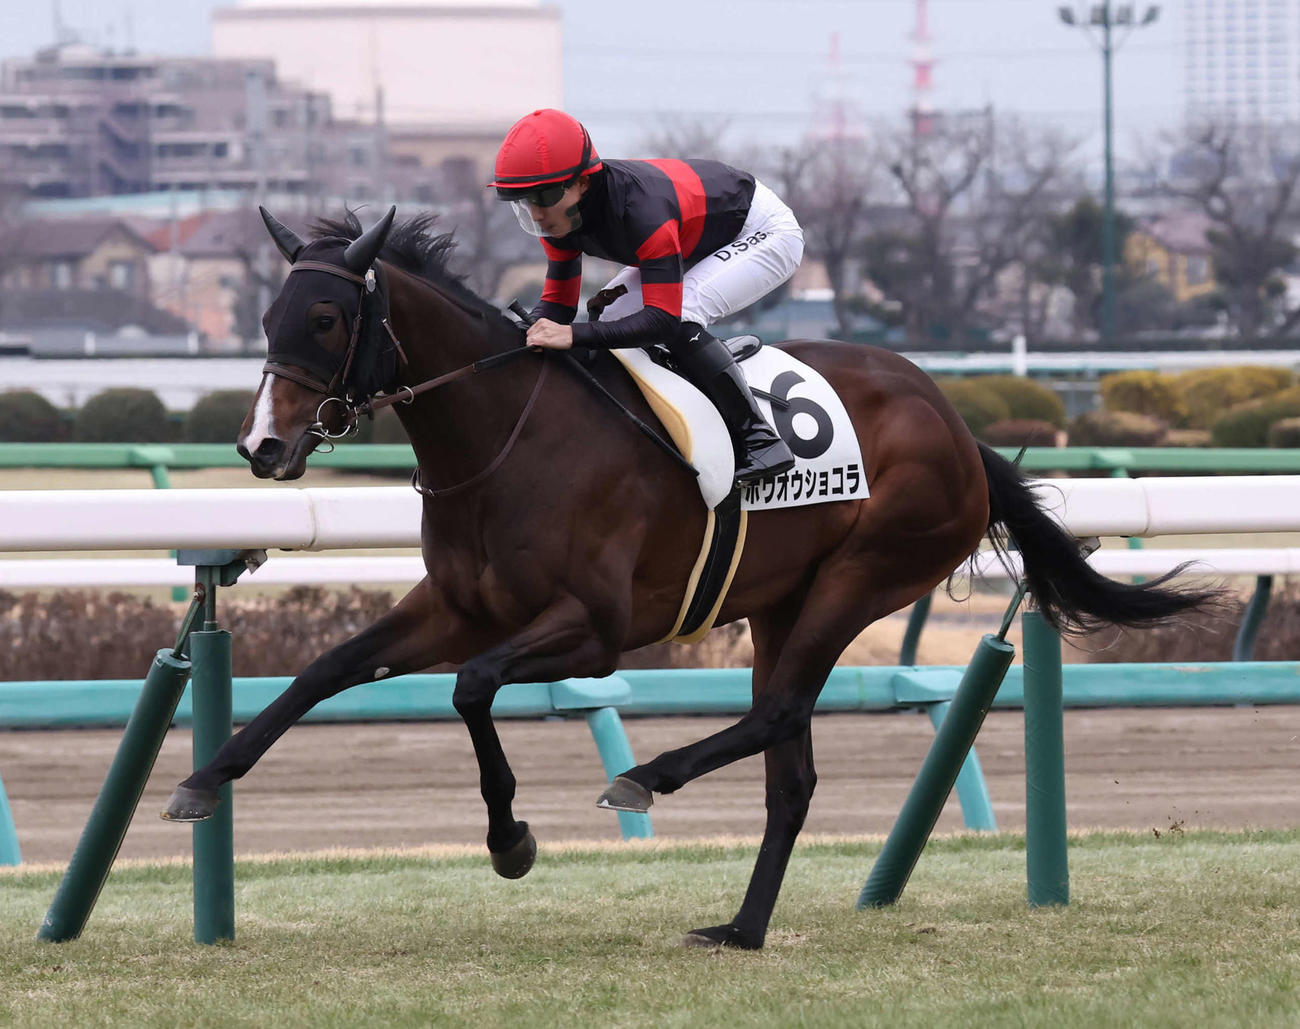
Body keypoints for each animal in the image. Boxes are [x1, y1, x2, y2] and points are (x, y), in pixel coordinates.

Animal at [162, 206, 1216, 950]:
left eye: (327, 314)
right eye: (267, 316)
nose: (262, 447)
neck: (508, 437)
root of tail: (958, 426)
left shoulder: (592, 629)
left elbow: (470, 688)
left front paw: (512, 840)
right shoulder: (455, 606)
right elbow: (326, 669)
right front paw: (204, 779)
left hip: (860, 577)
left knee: (780, 714)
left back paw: (646, 777)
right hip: (783, 604)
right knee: (791, 769)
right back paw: (742, 928)